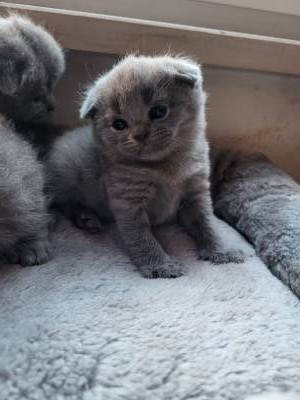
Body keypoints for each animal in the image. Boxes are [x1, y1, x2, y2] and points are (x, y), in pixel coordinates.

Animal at [47, 54, 244, 276]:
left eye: (158, 111)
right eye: (119, 124)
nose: (139, 135)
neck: (164, 166)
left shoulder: (196, 193)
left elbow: (206, 223)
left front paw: (221, 251)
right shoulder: (128, 203)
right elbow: (142, 238)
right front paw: (161, 265)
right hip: (66, 177)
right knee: (64, 203)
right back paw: (86, 218)